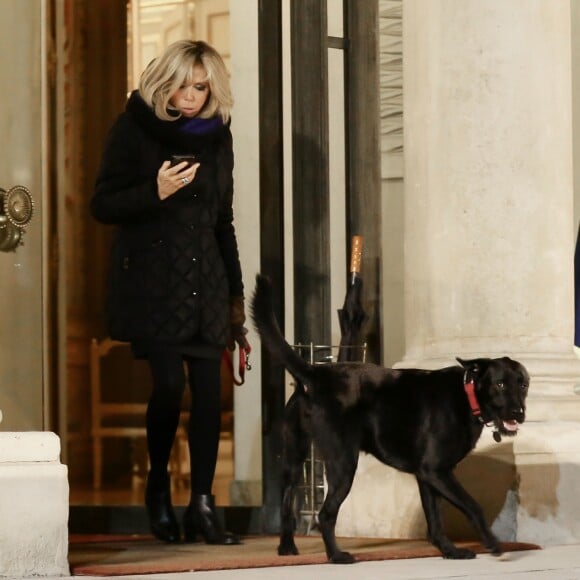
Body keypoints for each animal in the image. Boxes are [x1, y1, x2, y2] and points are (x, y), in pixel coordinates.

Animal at [251, 274, 528, 564]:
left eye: (523, 385)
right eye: (500, 384)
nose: (519, 412)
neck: (467, 394)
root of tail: (315, 374)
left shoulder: (428, 475)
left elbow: (435, 521)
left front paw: (450, 551)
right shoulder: (437, 471)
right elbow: (472, 505)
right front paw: (492, 543)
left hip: (295, 457)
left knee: (286, 502)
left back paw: (287, 548)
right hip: (343, 463)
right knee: (326, 513)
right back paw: (337, 556)